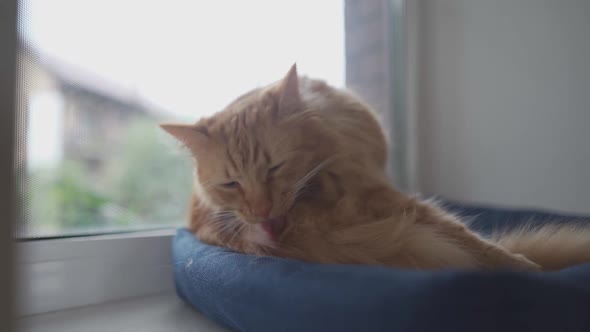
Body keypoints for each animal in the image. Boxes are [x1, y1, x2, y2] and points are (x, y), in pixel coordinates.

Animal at [162, 65, 590, 272]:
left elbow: (468, 238)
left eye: (274, 168)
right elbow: (467, 239)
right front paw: (523, 268)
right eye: (231, 184)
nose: (262, 213)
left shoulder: (379, 192)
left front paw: (521, 265)